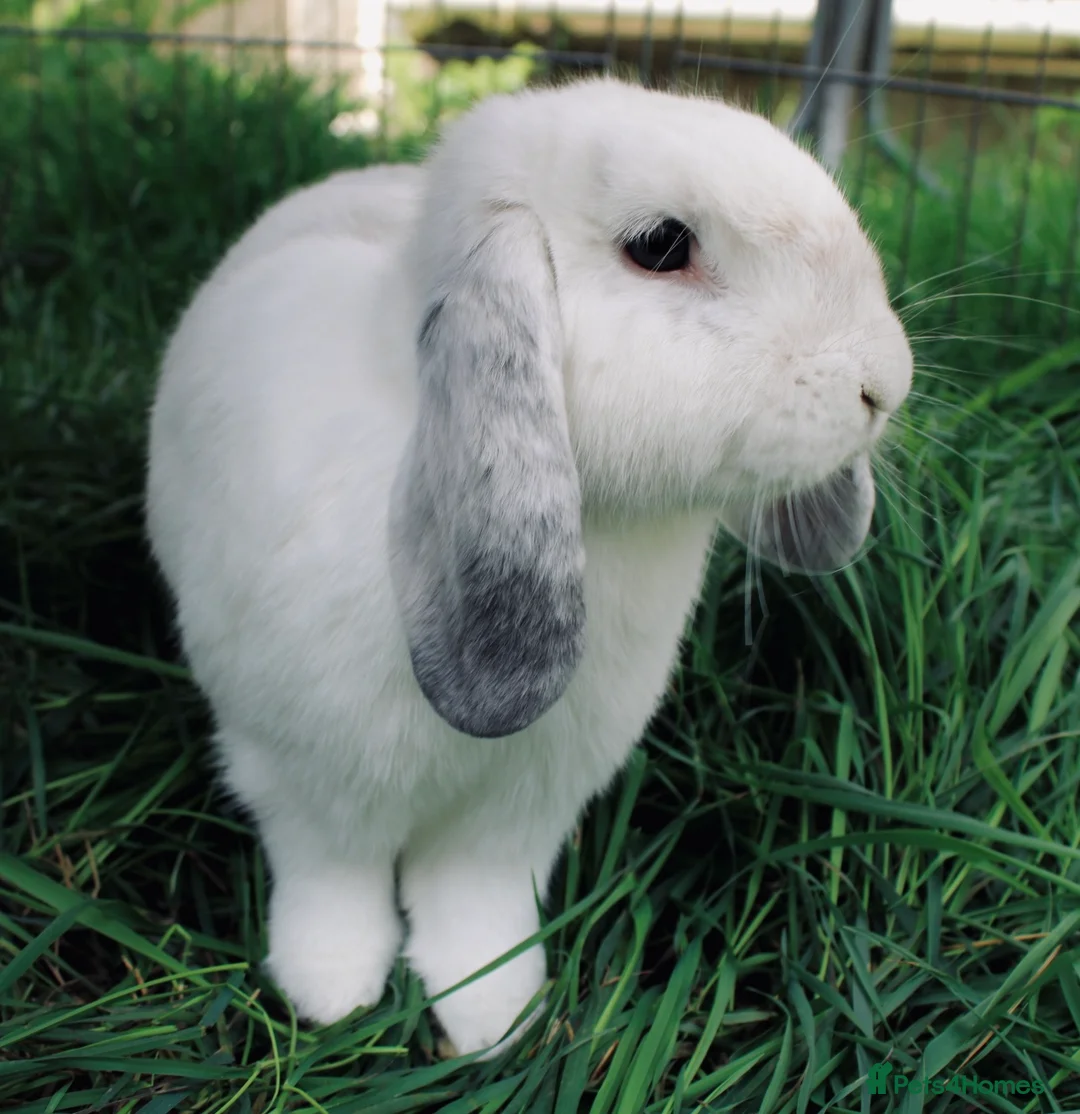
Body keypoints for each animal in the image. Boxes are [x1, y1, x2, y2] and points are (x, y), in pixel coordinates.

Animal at [145, 75, 913, 1060]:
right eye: (661, 246)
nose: (884, 382)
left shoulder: (525, 804)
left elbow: (477, 905)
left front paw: (493, 1018)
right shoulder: (308, 782)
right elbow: (333, 884)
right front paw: (331, 998)